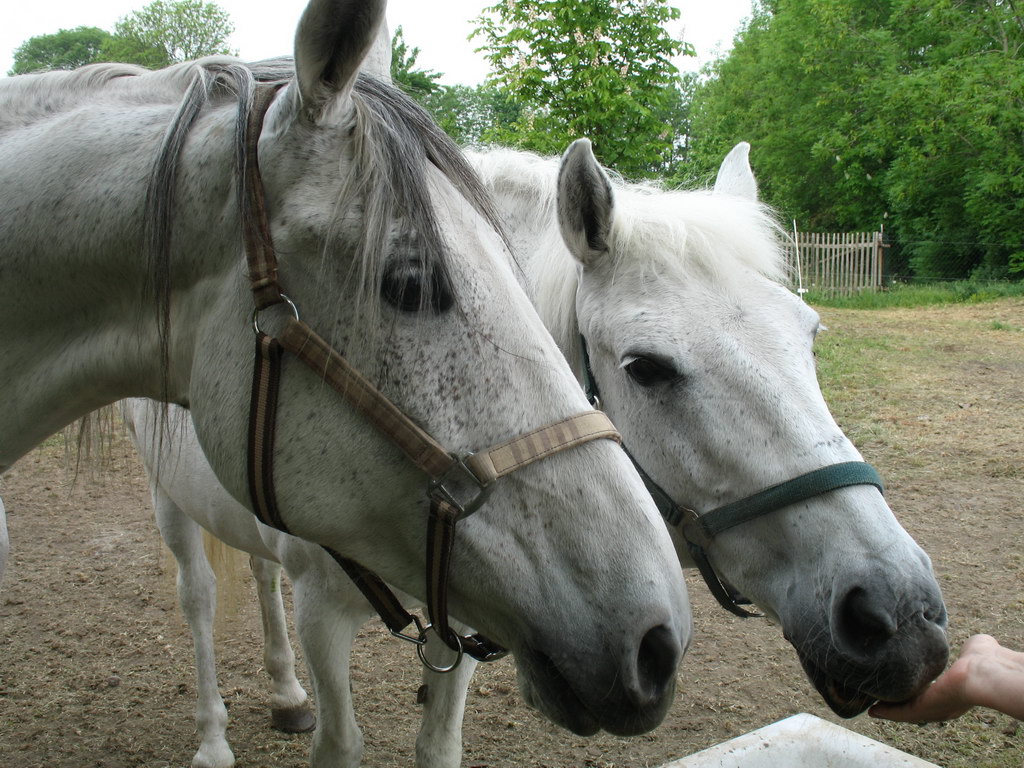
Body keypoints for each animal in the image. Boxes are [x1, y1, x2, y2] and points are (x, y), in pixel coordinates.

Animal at [0, 0, 692, 747]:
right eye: (410, 285)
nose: (657, 642)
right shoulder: (323, 617)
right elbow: (340, 739)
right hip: (168, 502)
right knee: (199, 599)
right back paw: (213, 738)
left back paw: (284, 693)